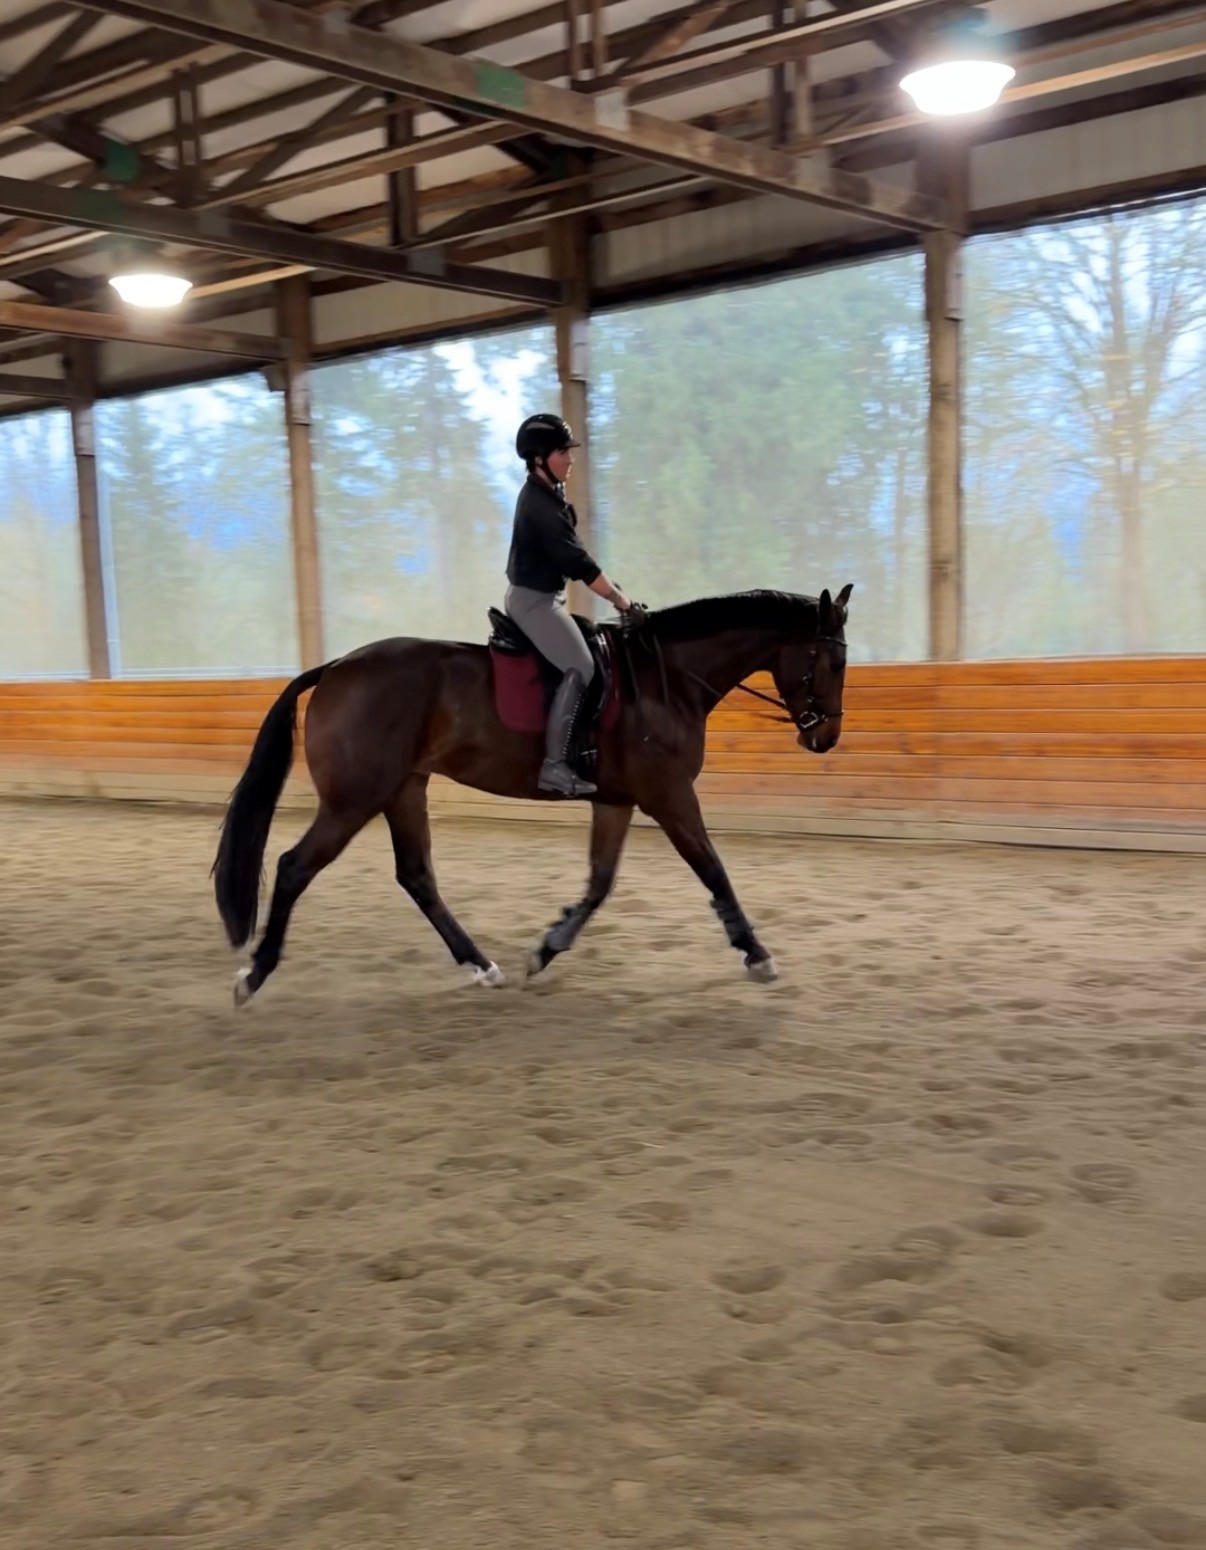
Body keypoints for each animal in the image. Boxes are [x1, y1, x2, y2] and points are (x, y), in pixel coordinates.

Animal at [212, 584, 853, 1003]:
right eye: (828, 661)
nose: (825, 737)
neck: (665, 679)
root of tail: (336, 666)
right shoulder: (669, 796)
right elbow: (713, 869)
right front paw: (757, 955)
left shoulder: (617, 800)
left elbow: (599, 884)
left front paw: (547, 948)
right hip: (354, 799)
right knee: (295, 867)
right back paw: (254, 975)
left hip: (403, 789)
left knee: (417, 876)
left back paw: (481, 965)